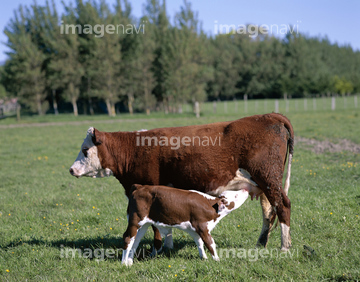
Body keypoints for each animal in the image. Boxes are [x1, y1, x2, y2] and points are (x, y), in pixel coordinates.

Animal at [70, 113, 296, 252]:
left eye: (85, 150)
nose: (71, 169)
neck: (135, 150)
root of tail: (269, 115)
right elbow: (164, 221)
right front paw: (167, 247)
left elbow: (155, 225)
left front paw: (157, 248)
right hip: (263, 184)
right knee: (269, 212)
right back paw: (260, 244)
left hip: (269, 179)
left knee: (283, 206)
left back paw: (285, 247)